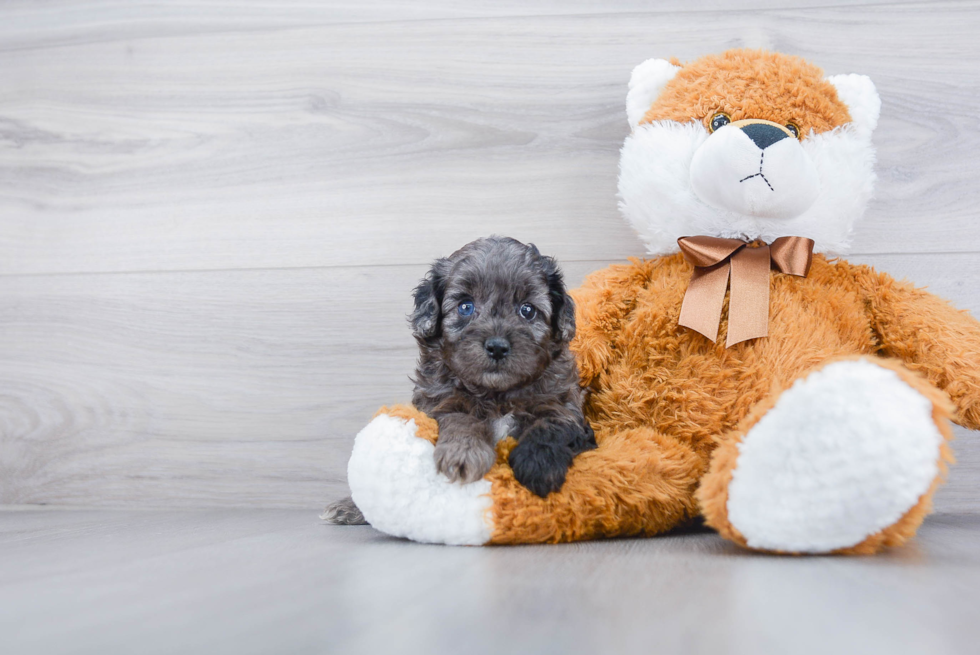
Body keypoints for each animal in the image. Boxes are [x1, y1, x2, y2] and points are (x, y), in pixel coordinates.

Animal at [326, 238, 592, 524]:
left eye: (527, 310)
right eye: (466, 306)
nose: (497, 347)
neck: (496, 393)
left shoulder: (562, 403)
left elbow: (550, 425)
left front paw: (538, 466)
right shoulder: (439, 403)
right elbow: (460, 419)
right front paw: (464, 454)